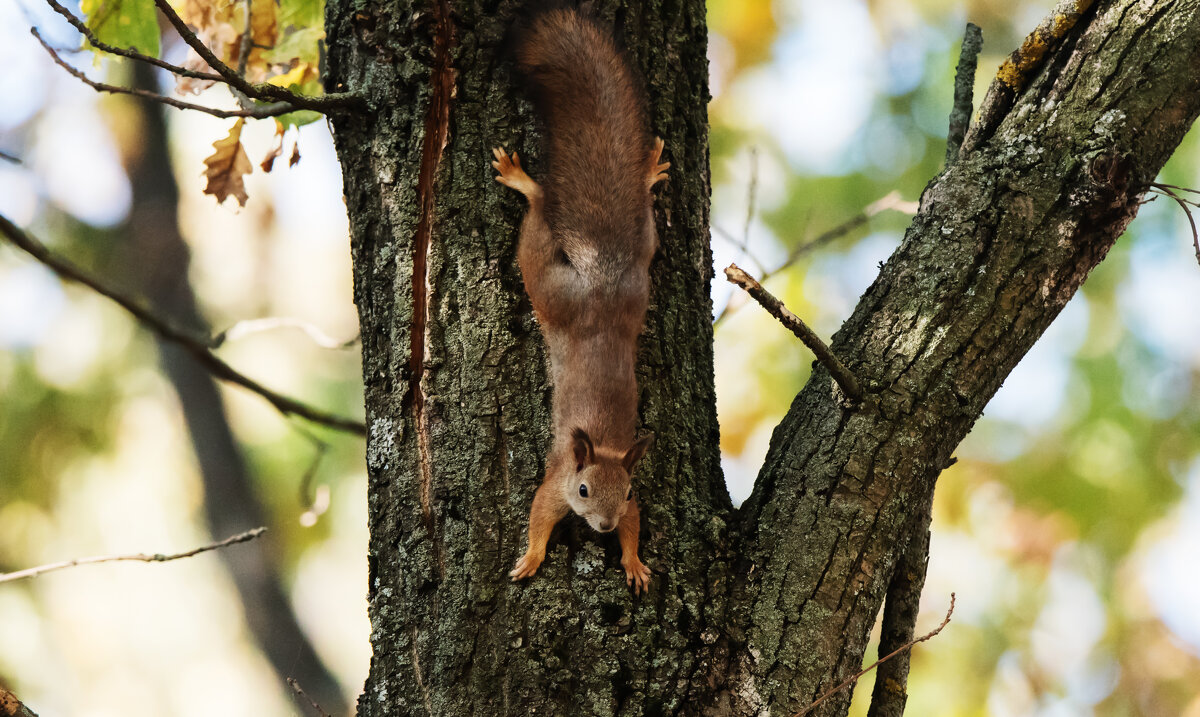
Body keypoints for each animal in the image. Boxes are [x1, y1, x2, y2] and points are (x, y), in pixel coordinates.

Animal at [492, 8, 672, 594]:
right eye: (586, 491)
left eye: (629, 492)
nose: (604, 526)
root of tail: (601, 278)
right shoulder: (556, 483)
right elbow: (539, 515)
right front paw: (530, 557)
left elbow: (638, 529)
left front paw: (634, 561)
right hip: (548, 287)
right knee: (539, 216)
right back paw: (525, 182)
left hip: (641, 267)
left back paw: (648, 171)